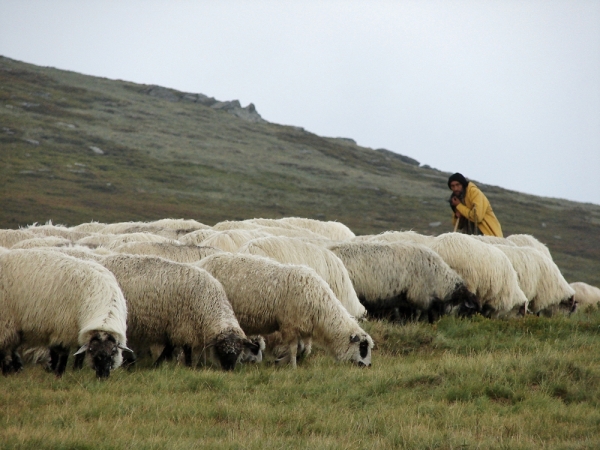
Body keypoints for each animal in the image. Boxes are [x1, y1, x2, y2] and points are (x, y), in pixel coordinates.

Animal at [0, 248, 131, 378]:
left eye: (113, 351)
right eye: (92, 351)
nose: (102, 376)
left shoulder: (75, 330)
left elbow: (76, 354)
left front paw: (73, 370)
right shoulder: (62, 328)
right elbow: (63, 353)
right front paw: (59, 374)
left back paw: (16, 369)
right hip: (6, 321)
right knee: (4, 349)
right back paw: (7, 371)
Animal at [98, 255, 260, 370]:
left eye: (238, 351)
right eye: (222, 349)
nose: (229, 369)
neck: (209, 304)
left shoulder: (174, 326)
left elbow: (170, 347)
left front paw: (158, 364)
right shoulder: (184, 326)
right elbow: (185, 349)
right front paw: (188, 366)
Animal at [195, 251, 372, 368]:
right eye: (363, 347)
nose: (368, 365)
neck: (320, 308)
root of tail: (201, 263)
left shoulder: (303, 328)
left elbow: (304, 350)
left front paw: (282, 361)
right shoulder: (290, 325)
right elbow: (294, 349)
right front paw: (292, 366)